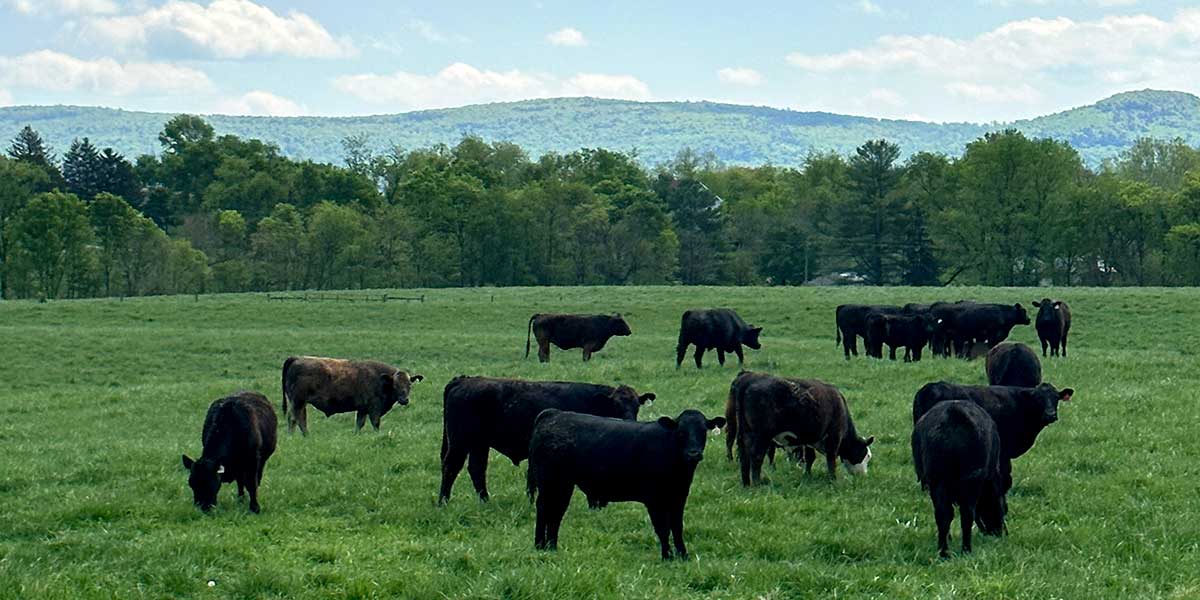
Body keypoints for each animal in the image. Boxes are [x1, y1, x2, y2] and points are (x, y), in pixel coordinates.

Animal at [281, 356, 423, 435]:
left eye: (410, 385)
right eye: (395, 385)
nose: (404, 400)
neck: (381, 379)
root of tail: (296, 358)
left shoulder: (362, 410)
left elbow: (359, 424)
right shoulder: (374, 409)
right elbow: (375, 423)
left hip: (300, 404)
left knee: (300, 419)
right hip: (298, 402)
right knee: (294, 419)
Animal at [438, 376, 656, 504]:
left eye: (637, 405)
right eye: (616, 405)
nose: (629, 420)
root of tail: (464, 380)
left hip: (479, 444)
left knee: (476, 469)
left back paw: (485, 500)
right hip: (460, 442)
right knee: (451, 467)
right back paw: (443, 501)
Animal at [527, 408, 725, 560]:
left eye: (703, 431)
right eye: (681, 432)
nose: (693, 453)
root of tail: (553, 414)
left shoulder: (678, 496)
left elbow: (677, 527)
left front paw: (683, 555)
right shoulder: (654, 499)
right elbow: (662, 528)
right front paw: (667, 556)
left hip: (563, 485)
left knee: (556, 512)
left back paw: (551, 546)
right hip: (550, 482)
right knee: (544, 508)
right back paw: (540, 545)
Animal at [726, 371, 874, 485]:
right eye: (866, 455)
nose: (864, 475)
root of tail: (749, 377)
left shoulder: (808, 439)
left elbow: (810, 458)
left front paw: (807, 475)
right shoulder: (834, 435)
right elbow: (831, 459)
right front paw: (833, 479)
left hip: (744, 432)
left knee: (744, 455)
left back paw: (746, 483)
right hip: (762, 435)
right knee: (756, 456)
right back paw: (757, 483)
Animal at [912, 400, 1008, 558]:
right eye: (1002, 505)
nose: (1000, 532)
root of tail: (955, 413)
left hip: (939, 481)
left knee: (944, 514)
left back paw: (944, 551)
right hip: (965, 482)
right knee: (965, 514)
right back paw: (964, 549)